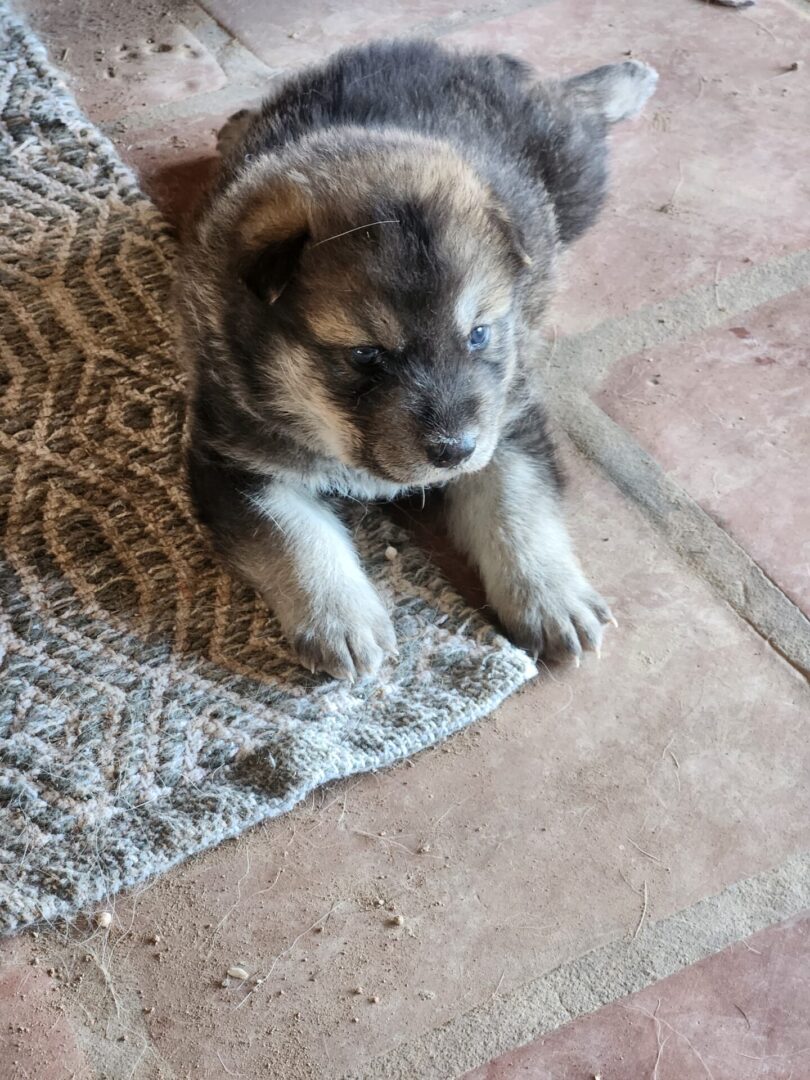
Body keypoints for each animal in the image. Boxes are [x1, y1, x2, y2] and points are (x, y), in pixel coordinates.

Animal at [179, 44, 660, 682]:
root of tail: (456, 58)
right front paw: (342, 619)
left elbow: (517, 507)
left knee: (578, 107)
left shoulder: (507, 422)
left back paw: (627, 79)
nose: (454, 450)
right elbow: (294, 537)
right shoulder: (234, 457)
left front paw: (552, 599)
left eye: (478, 334)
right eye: (365, 355)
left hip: (574, 178)